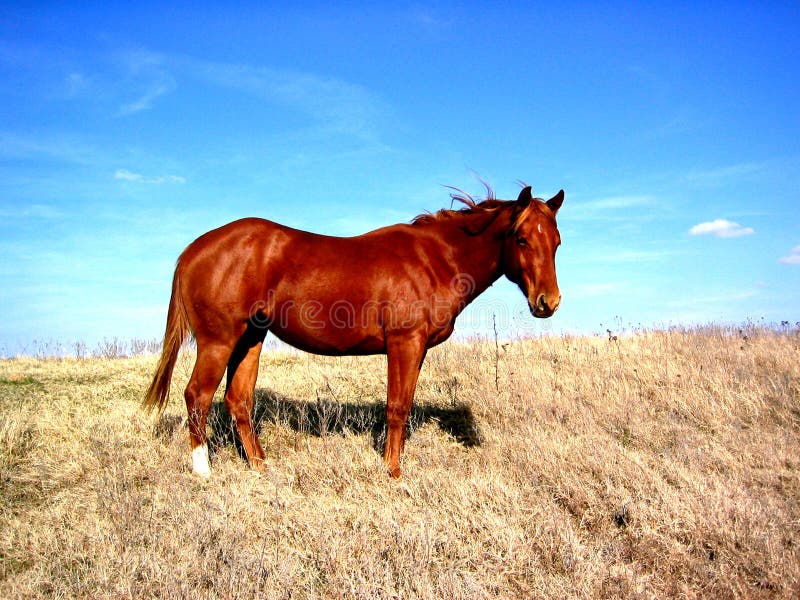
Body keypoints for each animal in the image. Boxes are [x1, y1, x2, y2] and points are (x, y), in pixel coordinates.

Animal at [145, 184, 568, 478]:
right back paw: (203, 470)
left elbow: (404, 405)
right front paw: (393, 471)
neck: (435, 259)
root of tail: (193, 250)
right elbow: (397, 407)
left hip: (250, 338)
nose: (548, 302)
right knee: (197, 396)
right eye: (521, 238)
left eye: (557, 242)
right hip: (219, 341)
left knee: (238, 401)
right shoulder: (404, 343)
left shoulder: (417, 349)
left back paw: (261, 465)